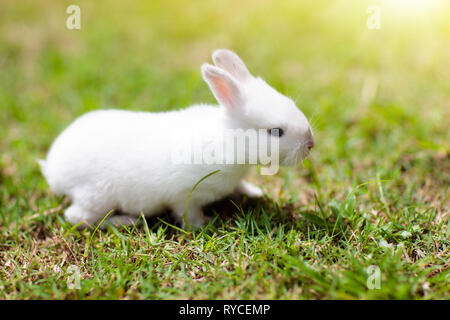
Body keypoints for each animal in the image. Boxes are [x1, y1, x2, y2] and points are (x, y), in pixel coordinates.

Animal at [38, 48, 314, 229]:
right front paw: (203, 225)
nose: (310, 144)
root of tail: (53, 168)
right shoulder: (184, 194)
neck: (230, 140)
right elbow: (187, 212)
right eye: (276, 132)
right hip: (97, 196)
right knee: (77, 217)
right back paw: (125, 221)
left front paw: (254, 192)